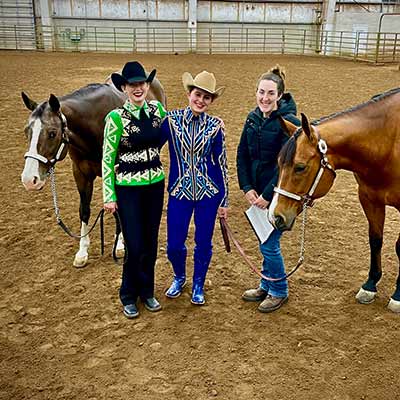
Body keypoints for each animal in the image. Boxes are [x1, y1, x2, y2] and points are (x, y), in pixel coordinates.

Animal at [20, 76, 166, 268]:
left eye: (52, 133)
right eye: (26, 131)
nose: (29, 179)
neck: (94, 124)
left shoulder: (116, 171)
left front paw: (120, 245)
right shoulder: (80, 173)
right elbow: (84, 210)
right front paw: (82, 252)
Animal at [268, 87, 400, 312]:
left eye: (300, 167)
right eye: (278, 163)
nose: (275, 217)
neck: (387, 142)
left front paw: (398, 295)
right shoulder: (369, 198)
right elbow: (375, 240)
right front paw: (370, 285)